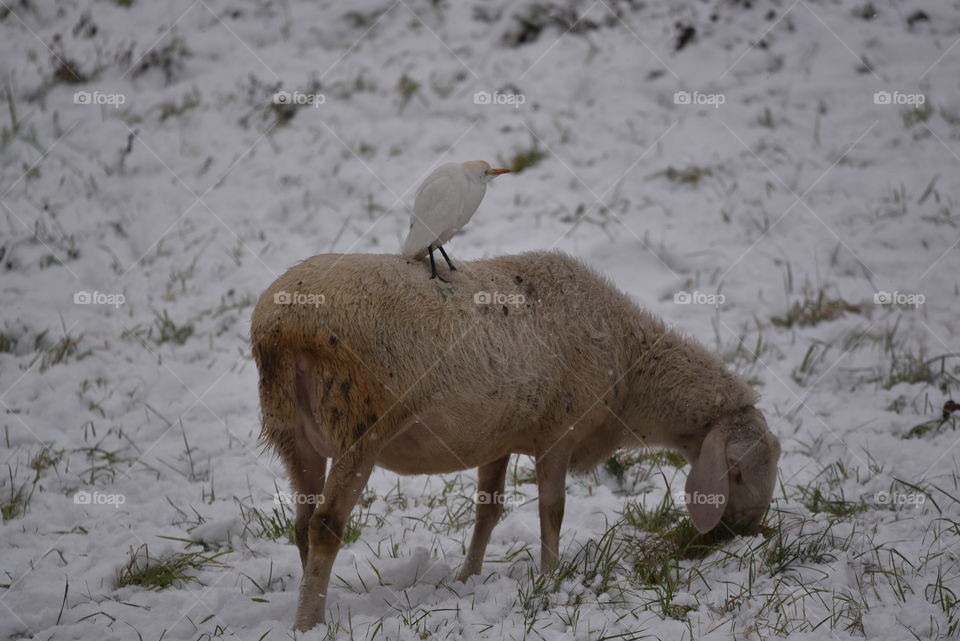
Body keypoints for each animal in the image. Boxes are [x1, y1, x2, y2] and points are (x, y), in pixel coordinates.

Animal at [251, 250, 784, 632]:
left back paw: (314, 600)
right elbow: (553, 510)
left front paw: (468, 578)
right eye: (739, 471)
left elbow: (487, 511)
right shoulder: (558, 434)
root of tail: (282, 326)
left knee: (302, 525)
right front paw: (551, 580)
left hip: (291, 431)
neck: (630, 367)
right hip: (360, 425)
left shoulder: (498, 438)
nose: (746, 532)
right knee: (325, 527)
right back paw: (309, 622)